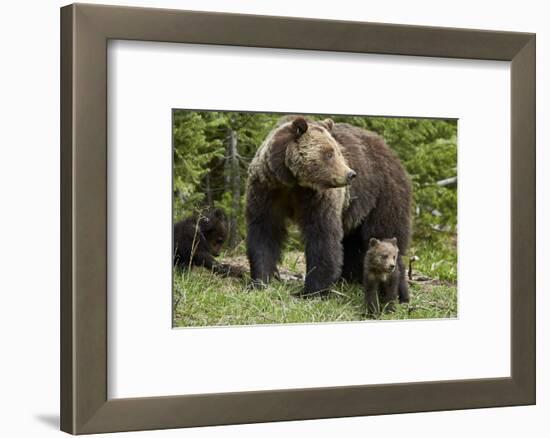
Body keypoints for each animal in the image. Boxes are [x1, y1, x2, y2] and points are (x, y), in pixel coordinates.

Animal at [247, 115, 414, 302]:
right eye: (329, 153)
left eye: (338, 152)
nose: (350, 174)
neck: (293, 182)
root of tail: (391, 152)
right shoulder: (267, 190)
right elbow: (264, 232)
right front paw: (260, 281)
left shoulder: (318, 198)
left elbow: (323, 238)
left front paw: (311, 292)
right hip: (355, 210)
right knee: (353, 243)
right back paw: (351, 278)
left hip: (383, 195)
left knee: (385, 233)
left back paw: (399, 293)